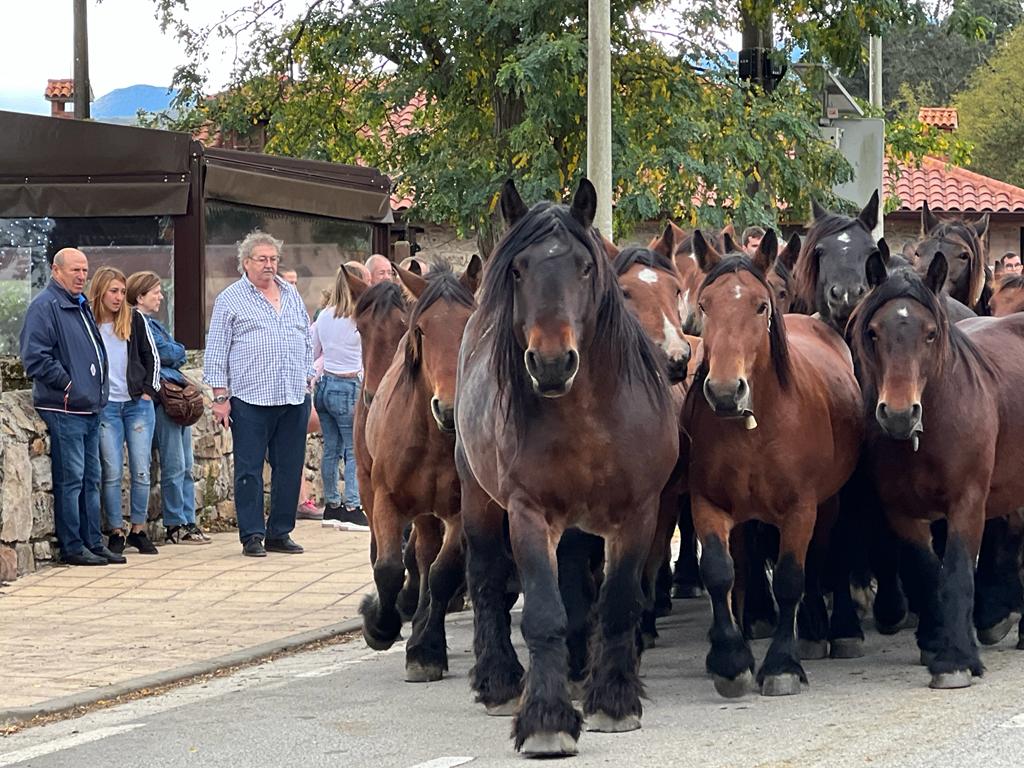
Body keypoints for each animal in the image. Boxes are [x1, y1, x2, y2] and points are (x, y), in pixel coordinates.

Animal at [360, 259, 483, 684]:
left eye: (468, 323)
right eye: (421, 330)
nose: (447, 409)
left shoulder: (462, 511)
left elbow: (444, 573)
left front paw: (426, 650)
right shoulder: (386, 500)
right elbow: (388, 568)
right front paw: (380, 625)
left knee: (431, 561)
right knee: (421, 554)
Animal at [458, 179, 679, 757]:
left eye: (583, 267)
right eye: (518, 269)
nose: (553, 362)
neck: (587, 418)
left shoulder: (638, 514)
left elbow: (618, 601)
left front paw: (614, 701)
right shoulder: (528, 513)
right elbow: (542, 612)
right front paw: (546, 719)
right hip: (478, 499)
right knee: (486, 581)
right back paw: (499, 682)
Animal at [679, 227, 864, 696]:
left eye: (760, 305)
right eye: (705, 304)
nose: (725, 392)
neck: (755, 425)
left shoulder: (801, 508)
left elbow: (790, 578)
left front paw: (782, 664)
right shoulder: (708, 503)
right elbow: (719, 571)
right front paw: (730, 660)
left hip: (829, 503)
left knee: (822, 557)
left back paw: (827, 629)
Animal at [851, 253, 1024, 692]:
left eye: (930, 334)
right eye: (873, 332)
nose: (898, 415)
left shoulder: (968, 503)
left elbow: (958, 573)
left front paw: (956, 661)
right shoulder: (901, 511)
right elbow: (928, 574)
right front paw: (938, 645)